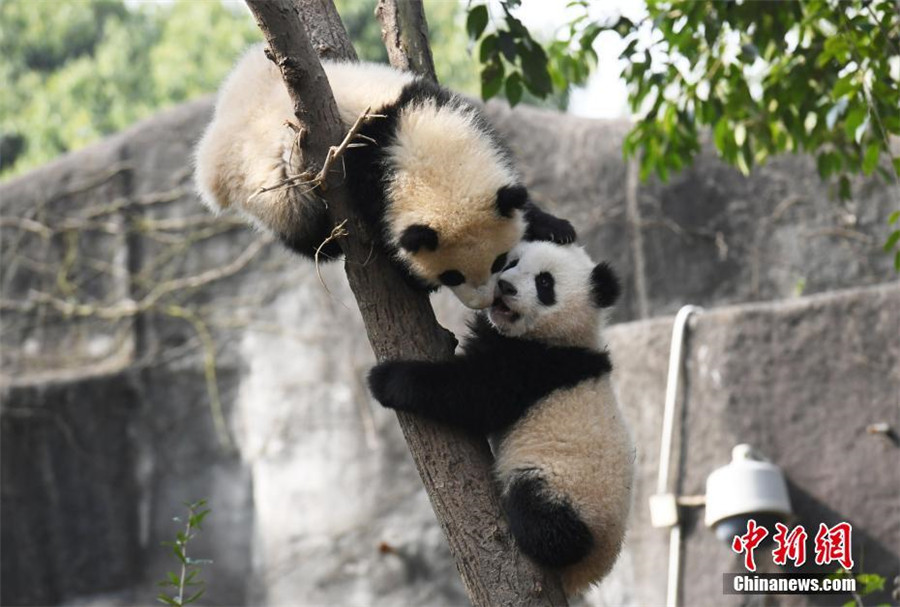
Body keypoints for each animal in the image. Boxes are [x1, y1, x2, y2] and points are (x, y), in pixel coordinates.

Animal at [193, 45, 572, 308]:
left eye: (498, 261)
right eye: (452, 275)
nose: (483, 303)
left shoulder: (439, 104)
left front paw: (555, 227)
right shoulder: (361, 168)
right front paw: (415, 280)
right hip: (270, 182)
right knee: (301, 226)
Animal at [366, 240, 632, 596]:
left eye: (544, 283)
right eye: (510, 262)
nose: (505, 287)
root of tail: (591, 573)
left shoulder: (536, 367)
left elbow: (472, 394)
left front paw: (387, 380)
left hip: (570, 490)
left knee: (547, 523)